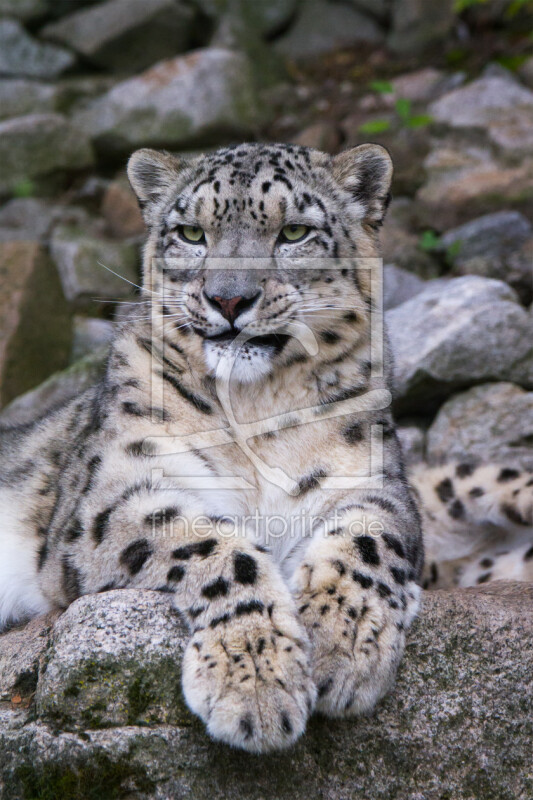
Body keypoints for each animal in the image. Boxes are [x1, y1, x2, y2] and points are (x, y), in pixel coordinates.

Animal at [0, 142, 528, 752]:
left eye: (294, 231)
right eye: (192, 233)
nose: (229, 298)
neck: (254, 407)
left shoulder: (374, 480)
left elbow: (368, 539)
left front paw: (344, 645)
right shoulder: (108, 496)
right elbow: (208, 544)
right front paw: (255, 679)